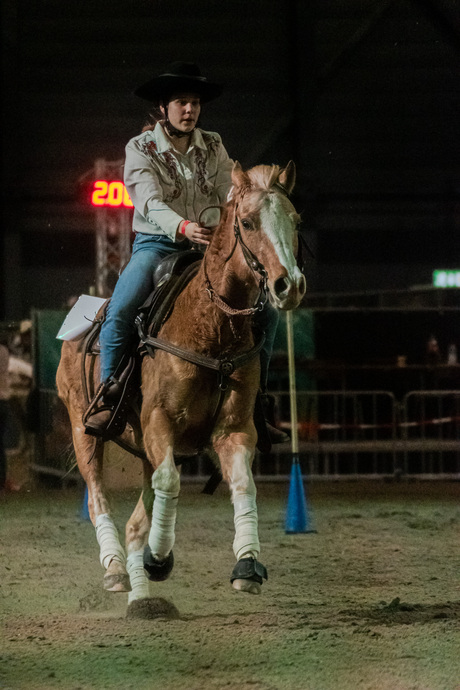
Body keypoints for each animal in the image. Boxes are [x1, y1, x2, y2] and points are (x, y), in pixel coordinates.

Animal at [55, 161, 306, 612]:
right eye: (247, 222)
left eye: (295, 220)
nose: (288, 285)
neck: (210, 328)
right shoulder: (160, 423)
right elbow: (170, 483)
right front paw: (158, 559)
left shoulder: (234, 429)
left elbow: (242, 485)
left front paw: (247, 566)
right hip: (85, 432)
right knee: (97, 497)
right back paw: (116, 570)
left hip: (142, 449)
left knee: (136, 520)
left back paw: (141, 599)